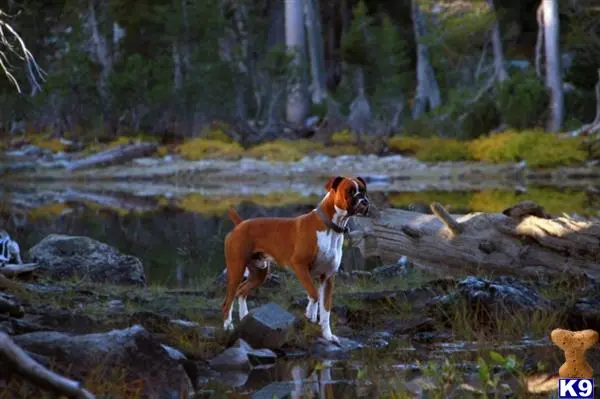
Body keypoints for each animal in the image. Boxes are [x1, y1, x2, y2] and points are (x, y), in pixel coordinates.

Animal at [221, 177, 368, 342]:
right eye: (350, 191)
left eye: (363, 190)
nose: (364, 201)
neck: (330, 226)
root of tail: (240, 224)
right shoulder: (300, 266)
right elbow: (314, 294)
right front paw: (310, 313)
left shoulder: (327, 278)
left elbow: (326, 310)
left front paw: (327, 335)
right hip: (236, 270)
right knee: (227, 301)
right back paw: (228, 327)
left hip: (259, 273)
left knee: (242, 291)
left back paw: (245, 318)